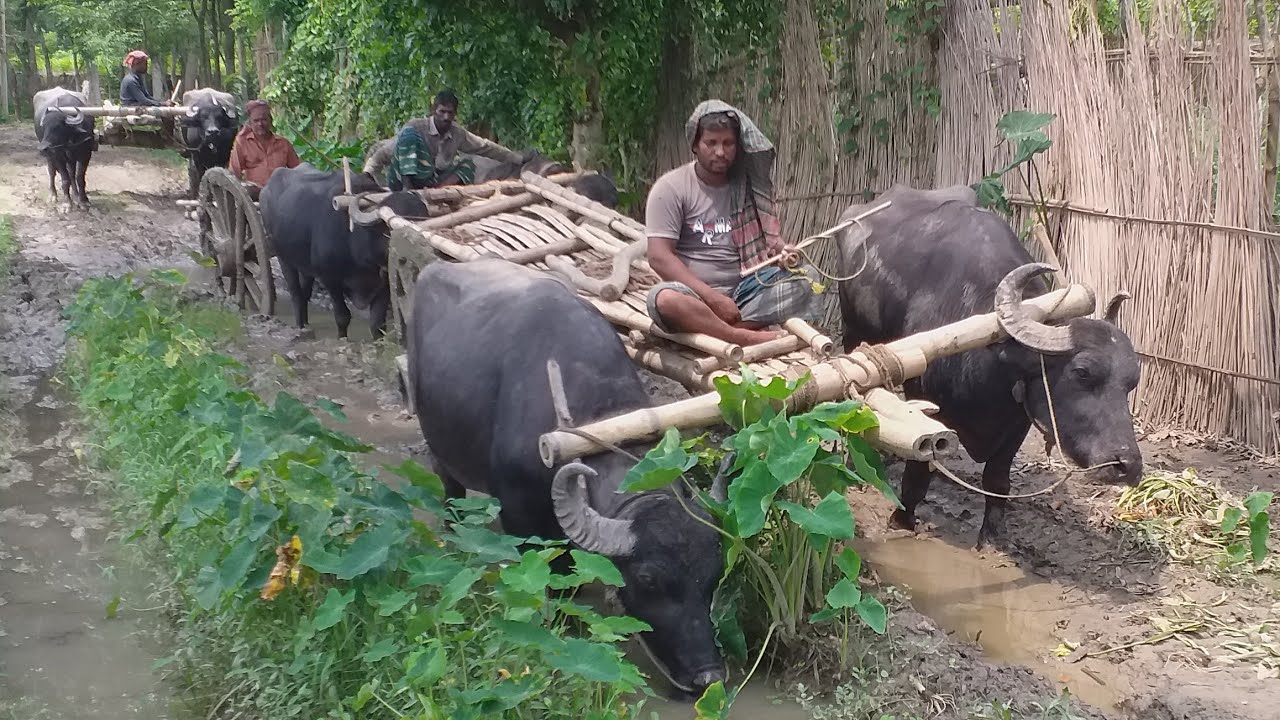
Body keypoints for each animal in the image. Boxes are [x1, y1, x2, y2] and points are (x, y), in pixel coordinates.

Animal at [259, 163, 428, 339]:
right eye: (391, 224)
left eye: (424, 216)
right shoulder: (330, 280)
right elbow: (342, 317)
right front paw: (343, 338)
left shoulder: (385, 283)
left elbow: (377, 323)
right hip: (283, 258)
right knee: (296, 295)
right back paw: (299, 326)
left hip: (305, 266)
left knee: (305, 293)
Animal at [835, 185, 1142, 548]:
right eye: (1081, 373)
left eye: (1131, 382)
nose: (1127, 465)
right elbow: (919, 470)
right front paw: (903, 519)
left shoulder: (1017, 422)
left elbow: (997, 481)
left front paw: (992, 538)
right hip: (853, 333)